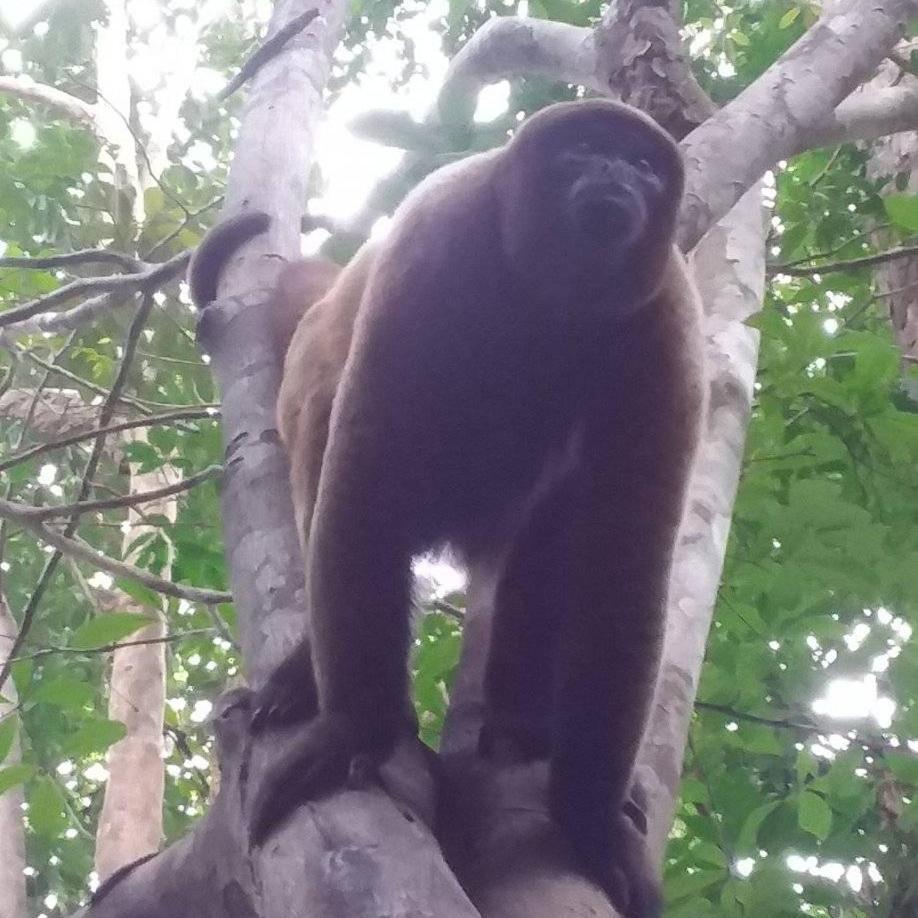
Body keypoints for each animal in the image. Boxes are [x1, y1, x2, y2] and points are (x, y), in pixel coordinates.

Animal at [203, 97, 704, 916]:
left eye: (642, 164)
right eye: (584, 150)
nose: (614, 171)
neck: (554, 297)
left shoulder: (666, 315)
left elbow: (626, 554)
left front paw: (591, 819)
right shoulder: (438, 242)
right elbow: (368, 466)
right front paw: (356, 730)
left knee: (557, 515)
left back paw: (520, 723)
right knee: (328, 425)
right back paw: (313, 672)